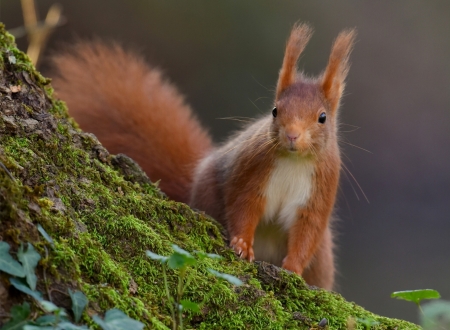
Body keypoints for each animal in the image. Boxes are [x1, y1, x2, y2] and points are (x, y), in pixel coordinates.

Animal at [51, 22, 356, 288]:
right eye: (274, 110)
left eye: (322, 118)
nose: (292, 135)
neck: (294, 161)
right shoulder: (252, 171)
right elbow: (243, 206)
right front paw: (242, 244)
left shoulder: (319, 191)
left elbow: (307, 232)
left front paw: (292, 268)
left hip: (323, 259)